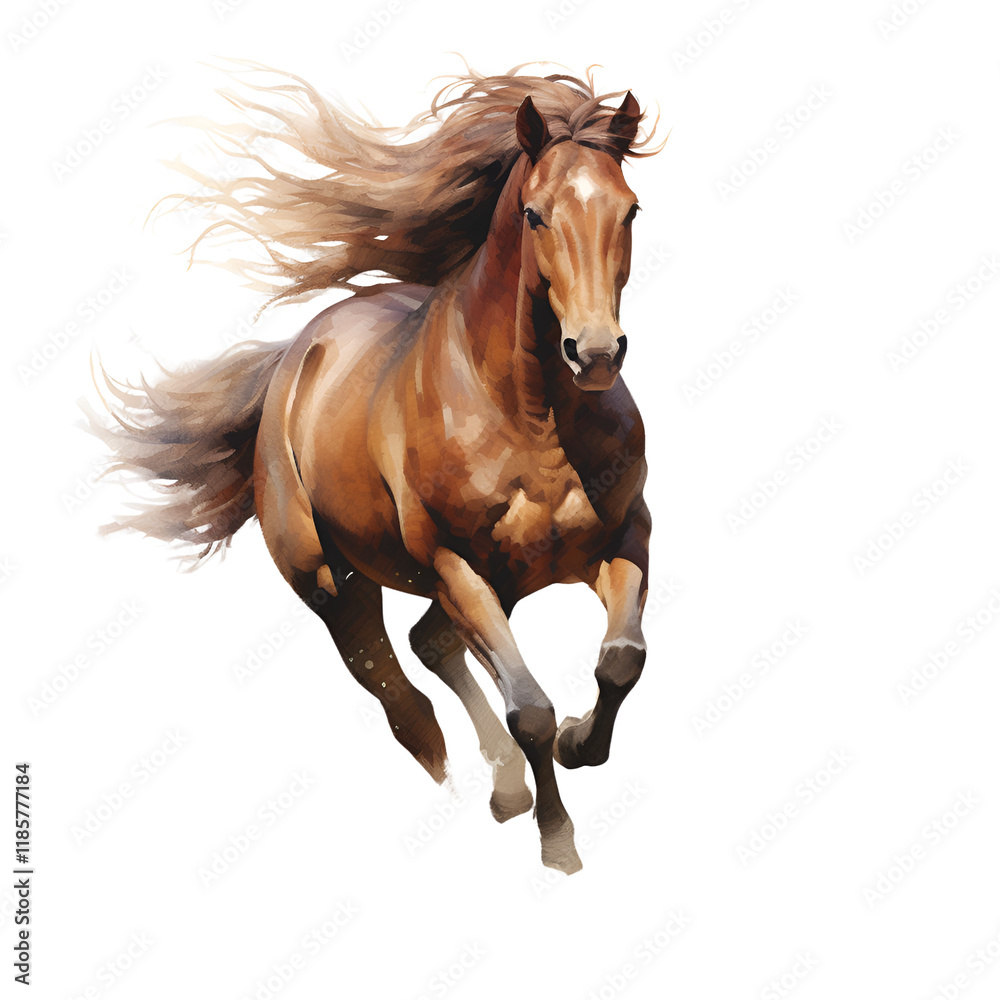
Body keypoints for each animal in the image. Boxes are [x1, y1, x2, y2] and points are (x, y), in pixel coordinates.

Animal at [90, 65, 658, 874]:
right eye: (535, 214)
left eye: (630, 209)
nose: (596, 353)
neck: (531, 418)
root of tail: (297, 355)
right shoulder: (457, 565)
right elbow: (530, 708)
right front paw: (559, 842)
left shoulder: (625, 537)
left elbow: (620, 663)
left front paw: (583, 742)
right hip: (335, 582)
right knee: (398, 692)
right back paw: (474, 782)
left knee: (431, 646)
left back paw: (505, 788)